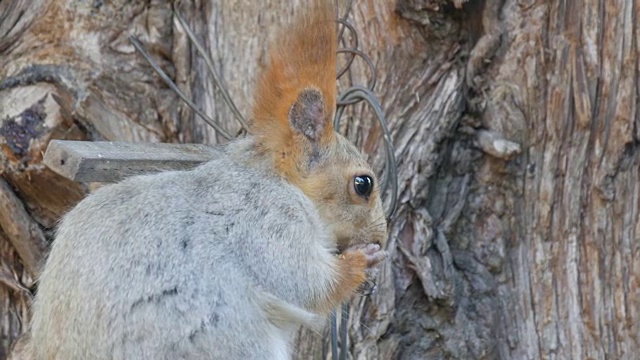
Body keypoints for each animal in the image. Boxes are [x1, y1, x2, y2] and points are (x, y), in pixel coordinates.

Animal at [22, 0, 388, 360]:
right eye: (363, 184)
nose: (381, 238)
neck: (276, 179)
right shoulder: (267, 219)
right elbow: (305, 281)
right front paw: (362, 261)